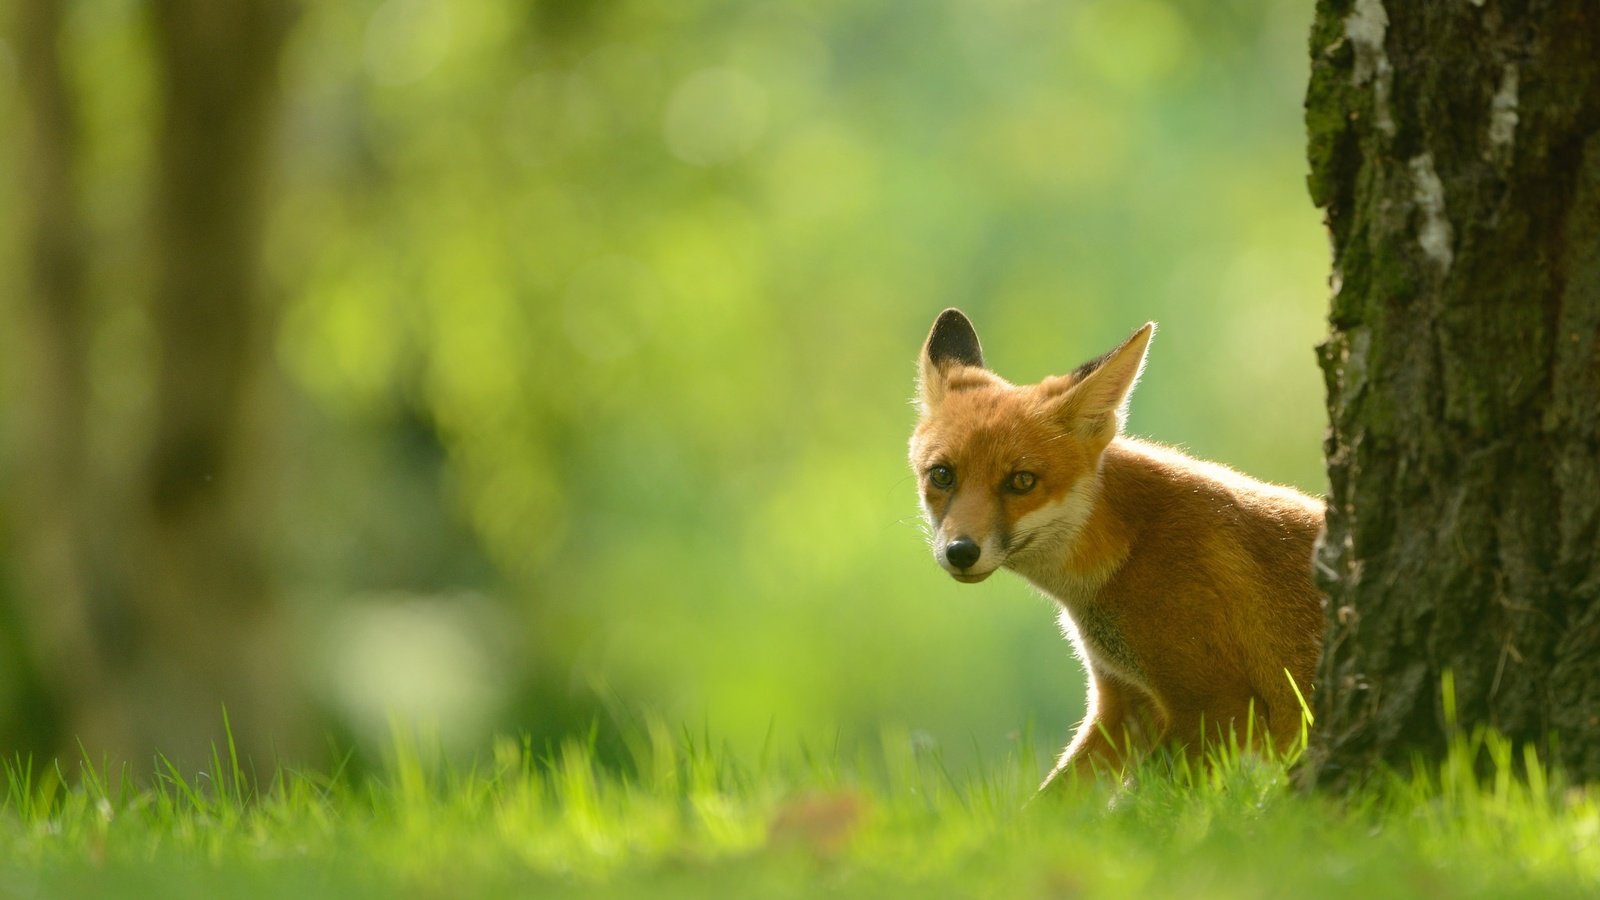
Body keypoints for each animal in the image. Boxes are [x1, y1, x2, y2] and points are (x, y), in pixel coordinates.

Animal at [908, 307, 1331, 784]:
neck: (1133, 547)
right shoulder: (1122, 702)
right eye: (942, 475)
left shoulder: (1218, 708)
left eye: (1022, 481)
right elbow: (1053, 798)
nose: (961, 551)